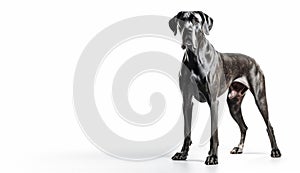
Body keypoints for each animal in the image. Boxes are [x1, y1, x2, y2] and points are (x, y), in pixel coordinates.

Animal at [169, 10, 282, 165]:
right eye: (181, 21)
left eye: (196, 21)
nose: (188, 30)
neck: (194, 57)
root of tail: (254, 61)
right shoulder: (186, 101)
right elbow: (187, 131)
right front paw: (183, 154)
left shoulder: (213, 101)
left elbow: (214, 133)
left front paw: (212, 156)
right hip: (233, 104)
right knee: (244, 127)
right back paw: (239, 148)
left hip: (260, 99)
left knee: (269, 125)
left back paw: (275, 150)